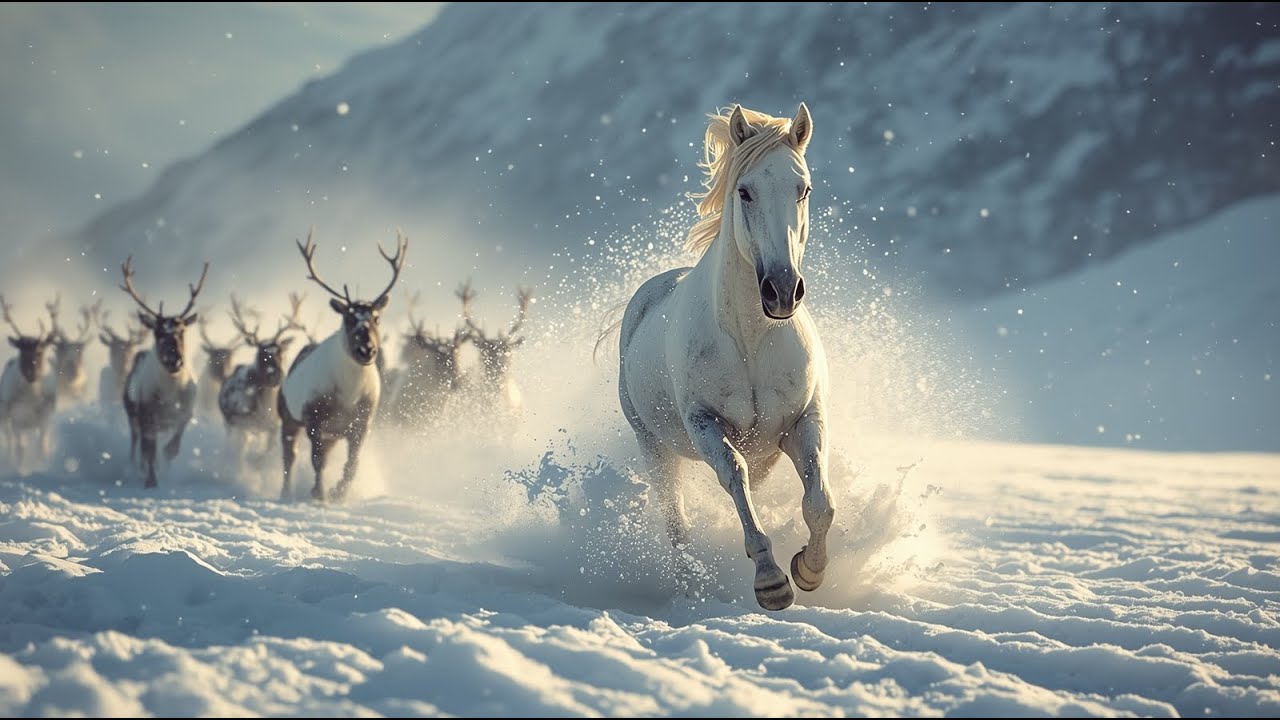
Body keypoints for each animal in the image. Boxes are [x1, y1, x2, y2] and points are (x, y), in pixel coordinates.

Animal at [0, 295, 56, 470]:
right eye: (22, 352)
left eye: (40, 352)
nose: (31, 375)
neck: (32, 399)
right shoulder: (16, 419)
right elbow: (20, 448)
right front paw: (18, 469)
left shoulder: (46, 417)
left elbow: (42, 447)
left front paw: (43, 467)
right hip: (4, 416)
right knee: (10, 442)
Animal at [119, 256, 209, 488]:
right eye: (158, 332)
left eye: (182, 331)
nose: (175, 360)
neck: (170, 396)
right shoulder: (147, 415)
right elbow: (149, 450)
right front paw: (150, 480)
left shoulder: (186, 412)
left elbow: (173, 448)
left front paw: (165, 466)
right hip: (132, 416)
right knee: (137, 445)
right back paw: (136, 468)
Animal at [219, 293, 305, 466]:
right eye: (262, 355)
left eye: (281, 353)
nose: (276, 375)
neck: (264, 410)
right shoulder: (241, 424)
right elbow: (241, 453)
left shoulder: (274, 425)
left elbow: (268, 449)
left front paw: (257, 461)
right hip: (230, 423)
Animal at [279, 228, 407, 502]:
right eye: (349, 318)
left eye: (377, 318)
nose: (367, 350)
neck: (349, 395)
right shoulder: (313, 419)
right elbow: (317, 461)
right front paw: (319, 493)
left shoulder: (361, 424)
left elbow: (352, 465)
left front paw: (339, 492)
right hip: (288, 416)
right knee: (289, 456)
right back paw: (286, 492)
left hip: (334, 435)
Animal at [616, 103, 832, 611]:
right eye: (745, 191)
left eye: (804, 189)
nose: (781, 291)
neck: (751, 341)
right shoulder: (705, 425)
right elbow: (735, 478)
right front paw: (771, 582)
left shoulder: (803, 421)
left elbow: (819, 501)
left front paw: (808, 569)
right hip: (653, 446)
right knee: (676, 523)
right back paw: (688, 589)